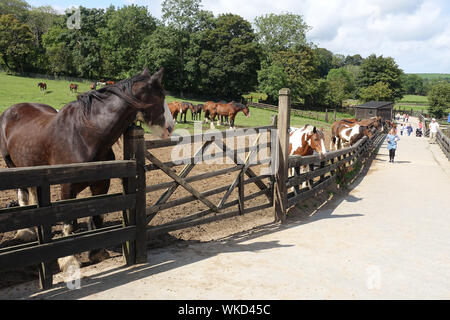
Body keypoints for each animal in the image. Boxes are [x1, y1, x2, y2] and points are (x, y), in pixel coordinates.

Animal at [0, 67, 174, 270]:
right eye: (160, 96)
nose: (171, 127)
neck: (85, 135)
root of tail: (10, 110)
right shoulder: (67, 188)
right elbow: (69, 222)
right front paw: (68, 260)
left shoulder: (101, 184)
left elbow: (97, 216)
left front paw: (97, 252)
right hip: (12, 165)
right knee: (23, 194)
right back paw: (26, 232)